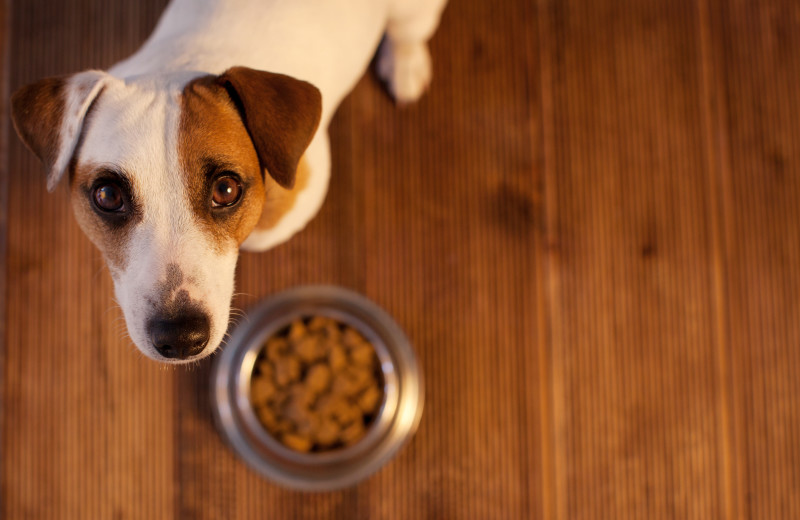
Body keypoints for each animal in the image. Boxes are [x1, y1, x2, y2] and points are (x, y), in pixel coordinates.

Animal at [12, 0, 446, 364]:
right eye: (107, 195)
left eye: (226, 190)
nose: (180, 338)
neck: (182, 62)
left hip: (412, 11)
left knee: (408, 32)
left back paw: (405, 64)